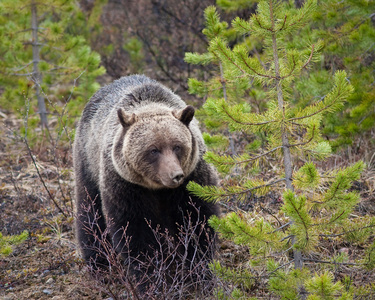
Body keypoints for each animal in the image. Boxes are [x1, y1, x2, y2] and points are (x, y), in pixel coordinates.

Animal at [73, 74, 220, 288]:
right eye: (153, 150)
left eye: (177, 146)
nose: (175, 175)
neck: (158, 189)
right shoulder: (126, 186)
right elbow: (135, 232)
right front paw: (151, 278)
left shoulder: (192, 179)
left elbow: (197, 220)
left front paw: (198, 272)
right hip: (88, 163)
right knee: (90, 214)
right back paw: (100, 264)